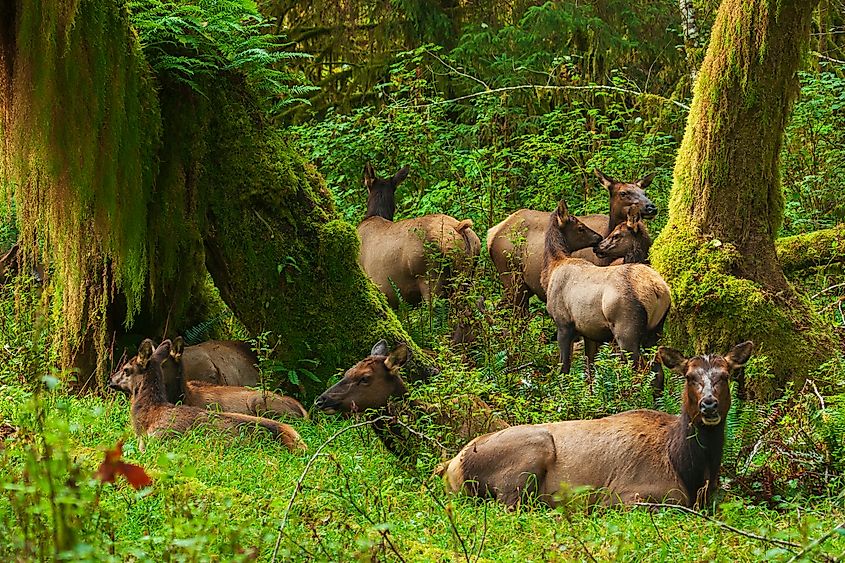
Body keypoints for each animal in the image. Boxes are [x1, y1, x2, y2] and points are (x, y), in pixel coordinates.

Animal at [439, 342, 753, 508]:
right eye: (689, 377)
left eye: (725, 375)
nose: (709, 404)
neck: (690, 469)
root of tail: (452, 466)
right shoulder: (627, 494)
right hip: (530, 455)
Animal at [487, 169, 657, 312]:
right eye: (623, 193)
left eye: (644, 191)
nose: (651, 207)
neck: (607, 260)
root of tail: (492, 233)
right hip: (511, 278)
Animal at [542, 199, 670, 377]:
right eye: (580, 227)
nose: (598, 240)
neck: (552, 268)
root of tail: (658, 291)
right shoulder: (588, 332)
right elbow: (590, 370)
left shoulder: (563, 324)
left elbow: (564, 368)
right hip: (656, 330)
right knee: (658, 372)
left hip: (626, 330)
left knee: (639, 370)